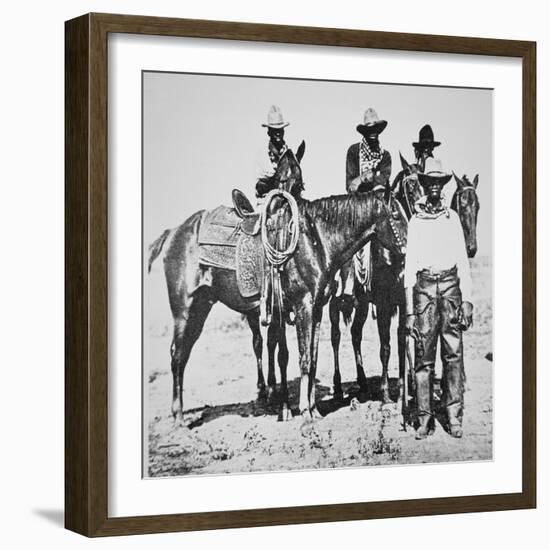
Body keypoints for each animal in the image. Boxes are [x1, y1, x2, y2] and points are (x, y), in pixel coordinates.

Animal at [149, 188, 408, 424]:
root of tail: (173, 233)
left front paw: (314, 409)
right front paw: (305, 412)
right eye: (395, 214)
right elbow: (304, 359)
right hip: (184, 310)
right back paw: (179, 418)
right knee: (177, 355)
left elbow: (312, 358)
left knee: (183, 355)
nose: (404, 255)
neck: (315, 240)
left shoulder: (316, 310)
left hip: (201, 308)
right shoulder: (303, 306)